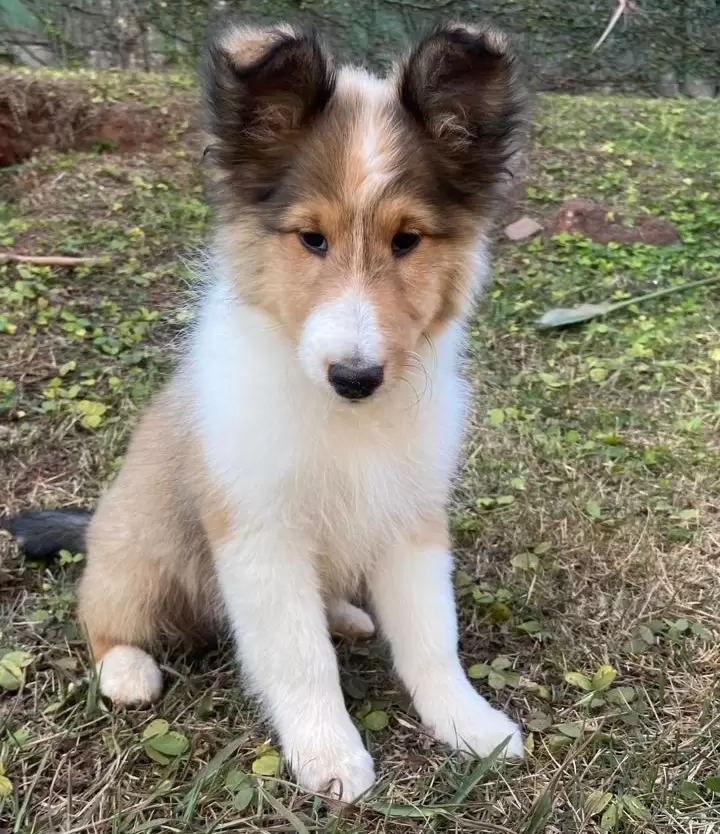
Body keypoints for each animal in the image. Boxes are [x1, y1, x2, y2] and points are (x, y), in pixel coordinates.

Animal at [4, 19, 528, 800]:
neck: (343, 419)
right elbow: (298, 655)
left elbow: (434, 638)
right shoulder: (260, 534)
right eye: (312, 238)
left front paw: (469, 723)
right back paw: (127, 668)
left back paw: (347, 614)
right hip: (140, 558)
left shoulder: (410, 519)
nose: (355, 375)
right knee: (99, 613)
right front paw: (330, 754)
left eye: (407, 240)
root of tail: (95, 524)